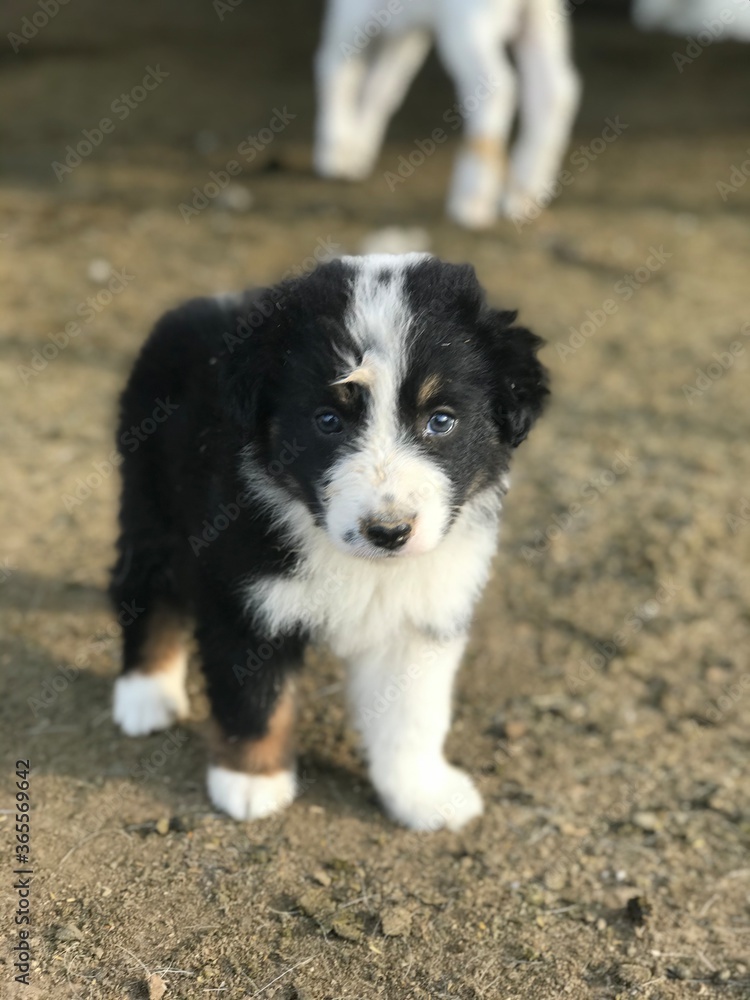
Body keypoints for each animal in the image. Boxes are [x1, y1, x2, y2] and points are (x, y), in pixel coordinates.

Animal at [110, 254, 548, 832]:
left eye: (441, 421)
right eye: (327, 420)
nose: (389, 532)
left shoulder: (421, 613)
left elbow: (413, 714)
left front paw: (423, 793)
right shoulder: (244, 593)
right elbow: (256, 697)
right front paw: (252, 782)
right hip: (150, 494)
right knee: (144, 584)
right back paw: (145, 692)